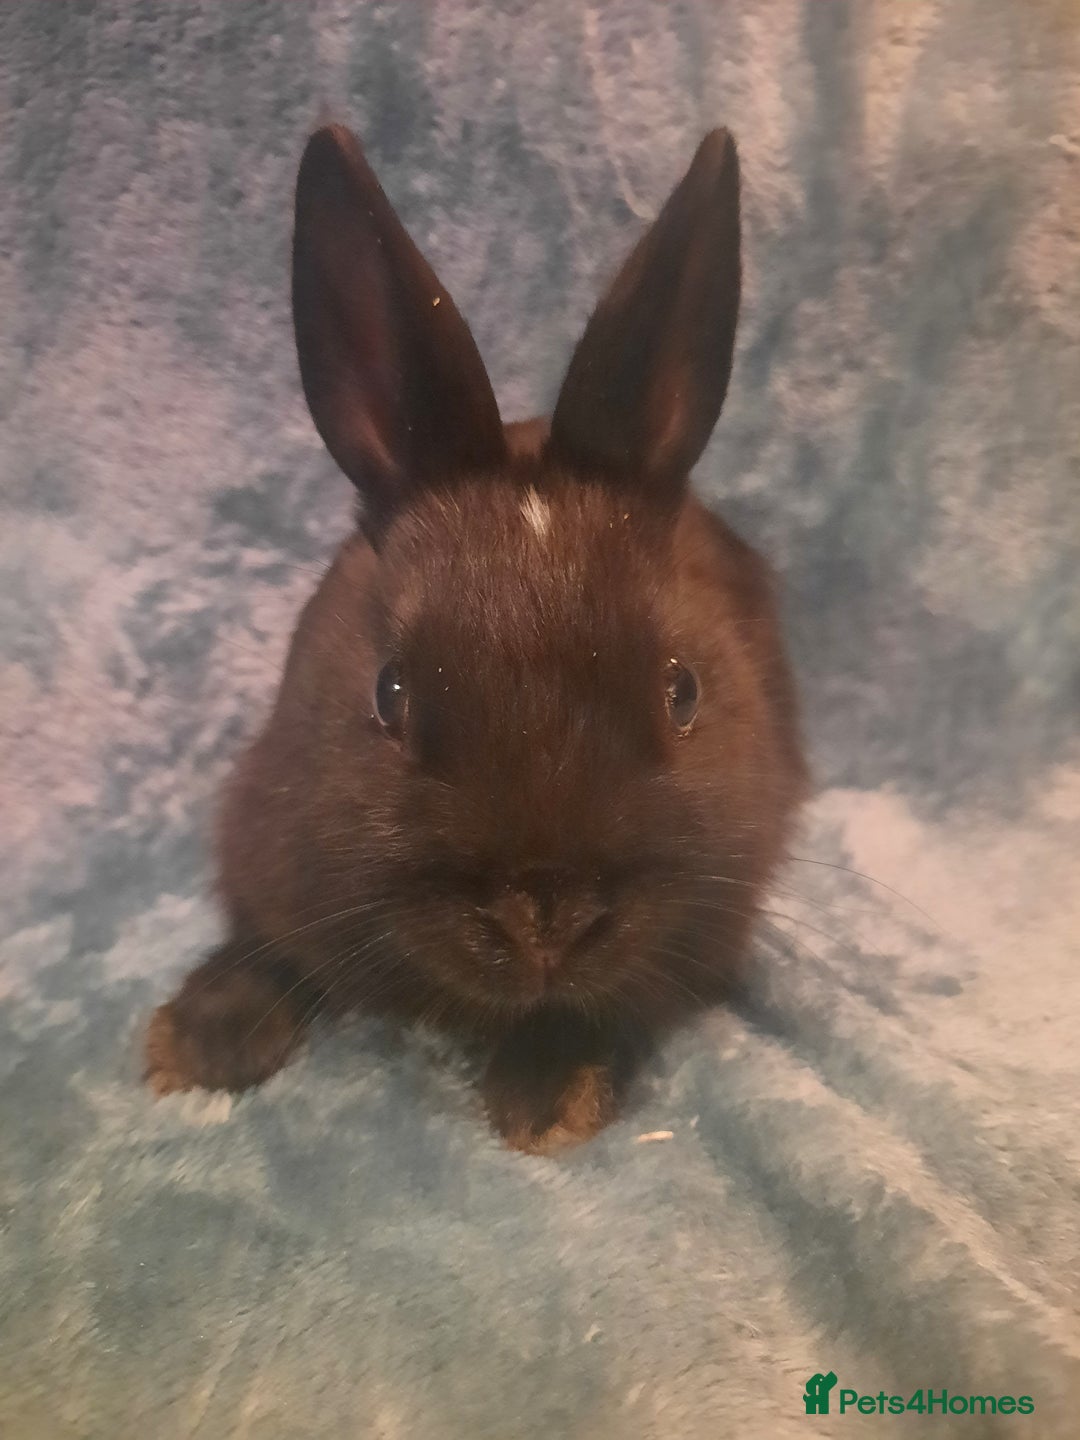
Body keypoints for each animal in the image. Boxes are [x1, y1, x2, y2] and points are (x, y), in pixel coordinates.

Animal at [144, 123, 808, 1154]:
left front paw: (546, 1100)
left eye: (683, 691)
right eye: (390, 692)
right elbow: (267, 941)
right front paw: (201, 1038)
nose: (545, 917)